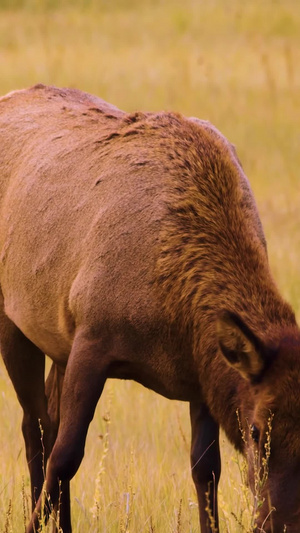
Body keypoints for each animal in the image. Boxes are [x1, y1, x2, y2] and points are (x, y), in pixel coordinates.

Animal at [0, 83, 300, 532]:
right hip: (12, 317)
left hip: (55, 339)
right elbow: (66, 456)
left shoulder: (204, 371)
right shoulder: (92, 337)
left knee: (46, 419)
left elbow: (206, 470)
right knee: (34, 426)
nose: (280, 522)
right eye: (255, 431)